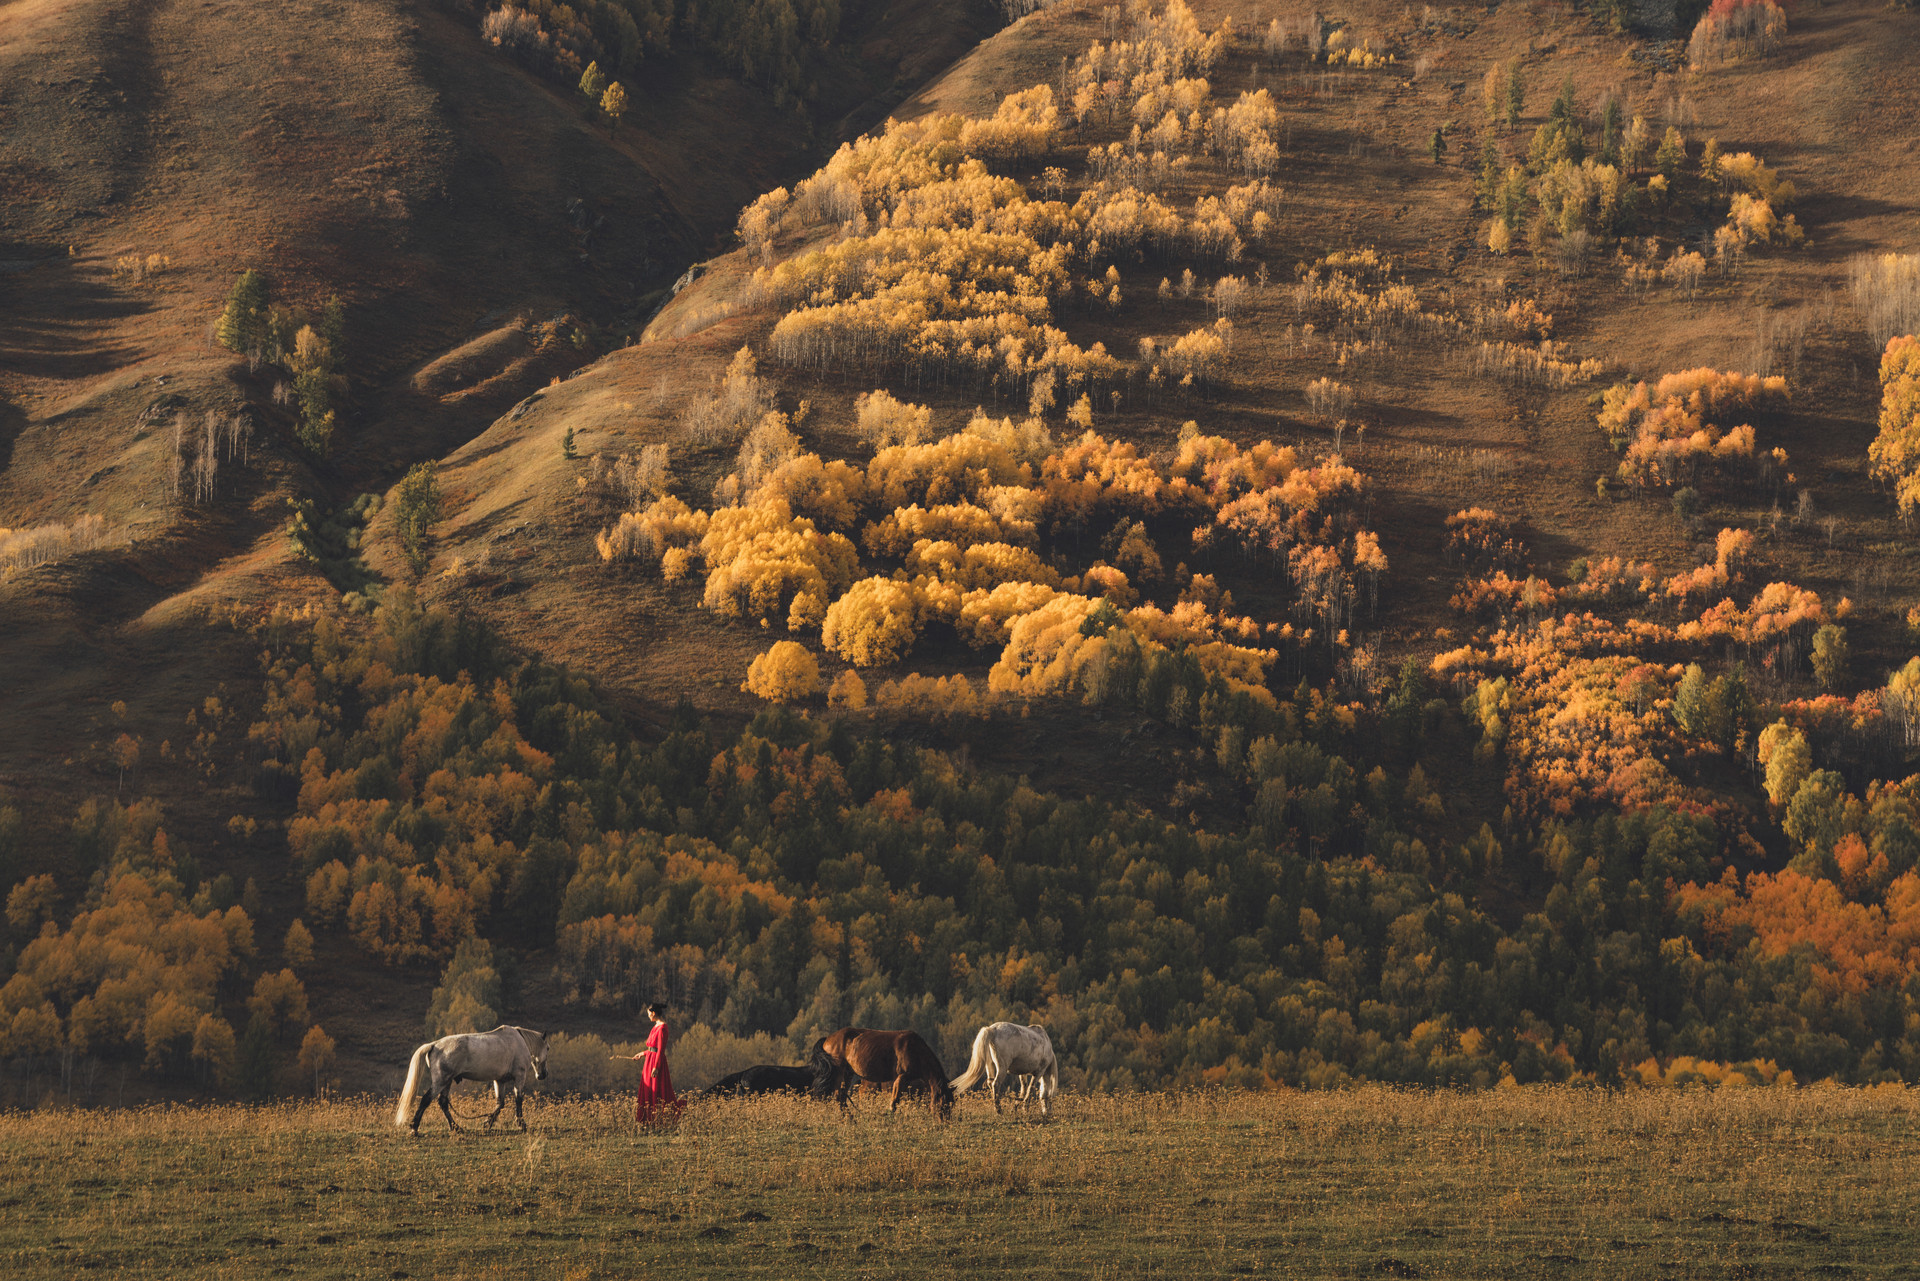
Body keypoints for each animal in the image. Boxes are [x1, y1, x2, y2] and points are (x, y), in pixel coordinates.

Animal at [391, 1029, 549, 1136]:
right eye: (547, 1048)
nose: (542, 1075)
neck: (519, 1041)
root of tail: (434, 1045)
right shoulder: (519, 1077)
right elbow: (518, 1099)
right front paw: (521, 1124)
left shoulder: (499, 1080)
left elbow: (500, 1103)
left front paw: (487, 1123)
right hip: (440, 1082)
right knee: (426, 1100)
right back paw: (414, 1127)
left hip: (447, 1082)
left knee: (443, 1103)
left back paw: (455, 1127)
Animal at [814, 1029, 956, 1113]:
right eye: (943, 1105)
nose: (943, 1124)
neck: (915, 1050)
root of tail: (828, 1039)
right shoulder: (902, 1077)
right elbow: (895, 1101)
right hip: (840, 1072)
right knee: (838, 1096)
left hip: (848, 1073)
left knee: (842, 1097)